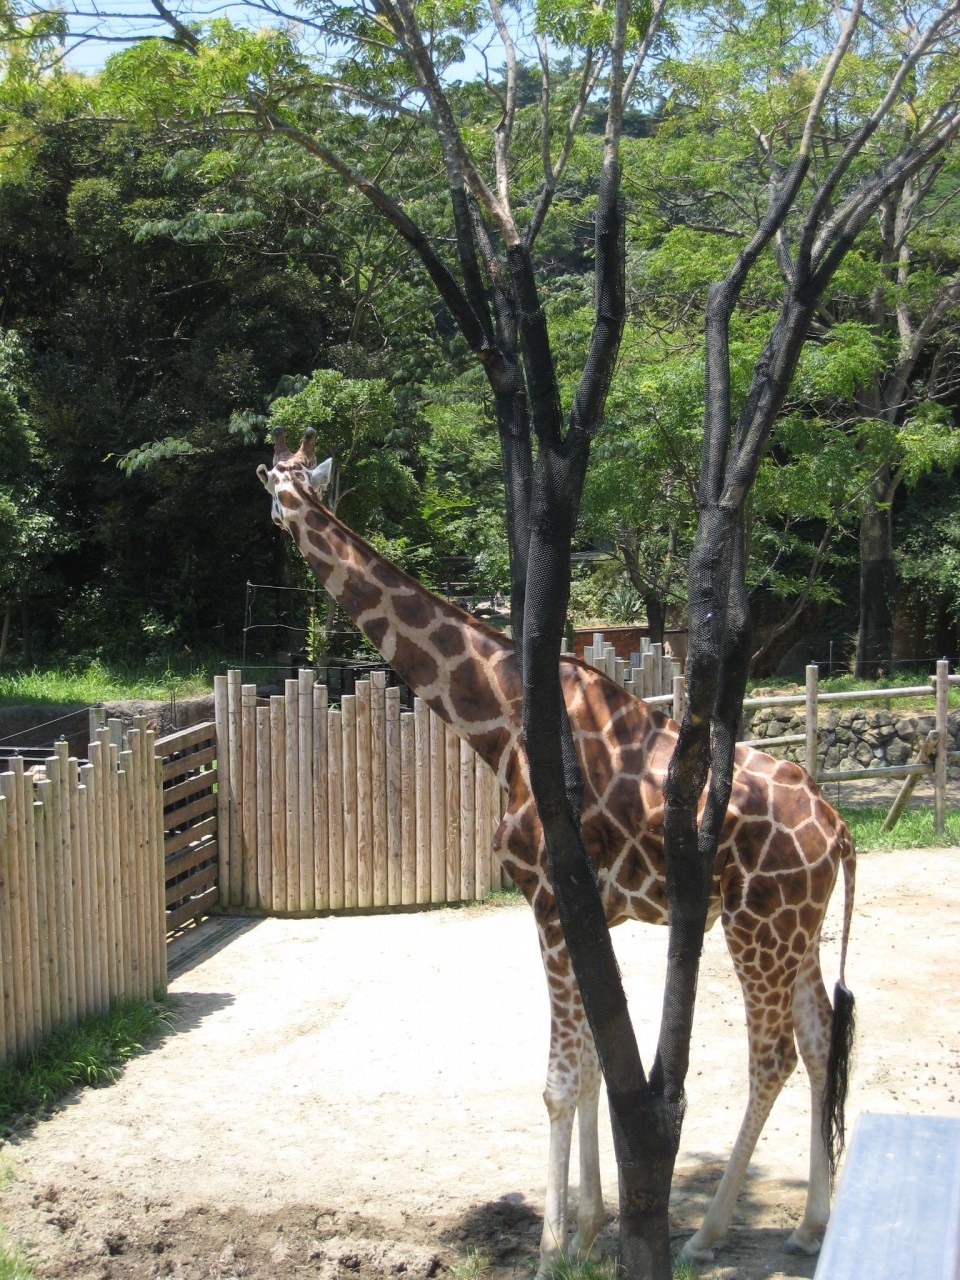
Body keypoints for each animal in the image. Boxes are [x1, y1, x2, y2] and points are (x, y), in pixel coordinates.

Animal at [258, 428, 856, 1273]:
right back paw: (809, 1226)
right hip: (797, 929)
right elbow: (600, 1067)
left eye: (278, 488)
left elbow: (561, 1078)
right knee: (818, 1039)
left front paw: (553, 1247)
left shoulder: (545, 893)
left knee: (771, 1055)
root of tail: (837, 827)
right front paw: (594, 1224)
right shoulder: (585, 906)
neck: (502, 717)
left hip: (756, 927)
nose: (281, 521)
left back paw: (707, 1233)